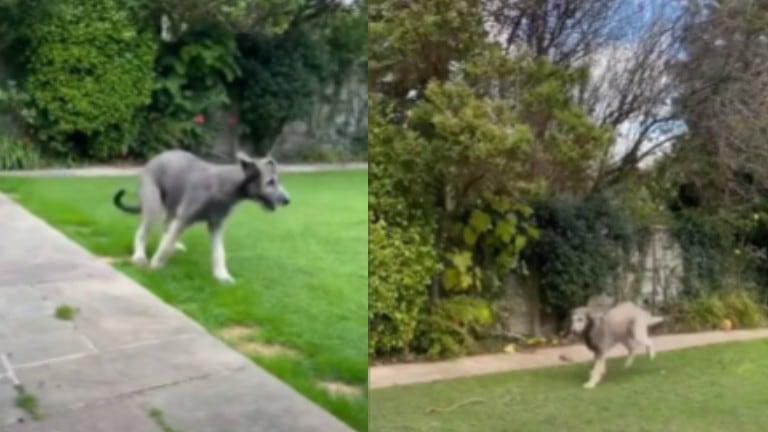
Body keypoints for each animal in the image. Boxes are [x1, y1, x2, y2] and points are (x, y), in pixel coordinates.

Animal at [113, 148, 292, 284]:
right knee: (144, 232)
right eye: (270, 182)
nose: (287, 200)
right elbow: (167, 243)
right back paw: (139, 256)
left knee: (166, 226)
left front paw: (222, 276)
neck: (225, 187)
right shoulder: (184, 217)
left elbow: (219, 251)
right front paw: (156, 264)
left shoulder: (216, 225)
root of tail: (156, 158)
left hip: (173, 205)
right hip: (153, 204)